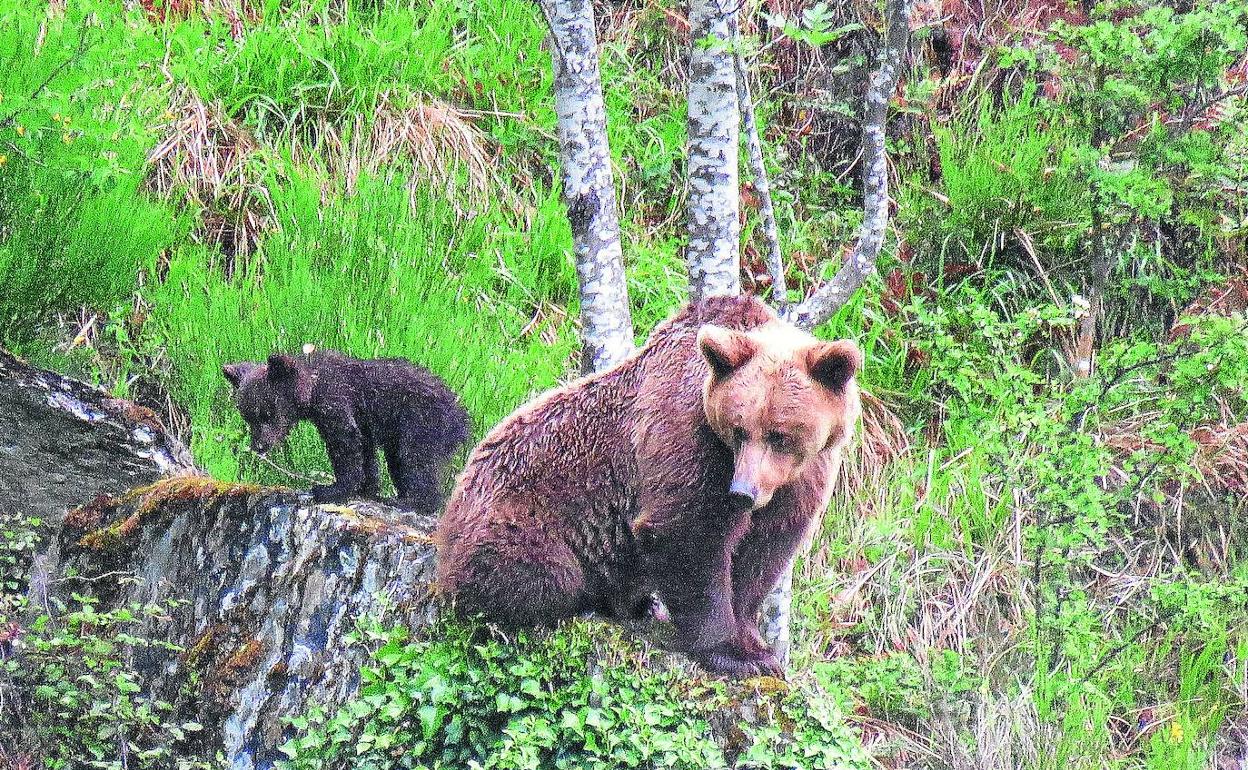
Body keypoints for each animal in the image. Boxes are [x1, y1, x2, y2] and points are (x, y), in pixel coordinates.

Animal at [222, 349, 469, 511]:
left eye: (267, 413)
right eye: (248, 417)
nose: (259, 445)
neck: (312, 386)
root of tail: (462, 418)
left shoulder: (335, 400)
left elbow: (344, 443)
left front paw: (330, 489)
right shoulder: (362, 421)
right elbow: (365, 451)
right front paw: (366, 487)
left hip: (421, 421)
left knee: (416, 459)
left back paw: (412, 501)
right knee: (399, 461)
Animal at [436, 294, 858, 673]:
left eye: (779, 435)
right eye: (738, 430)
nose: (742, 492)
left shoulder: (803, 477)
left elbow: (764, 551)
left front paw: (756, 646)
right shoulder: (689, 436)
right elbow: (689, 533)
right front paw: (730, 652)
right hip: (519, 521)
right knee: (540, 577)